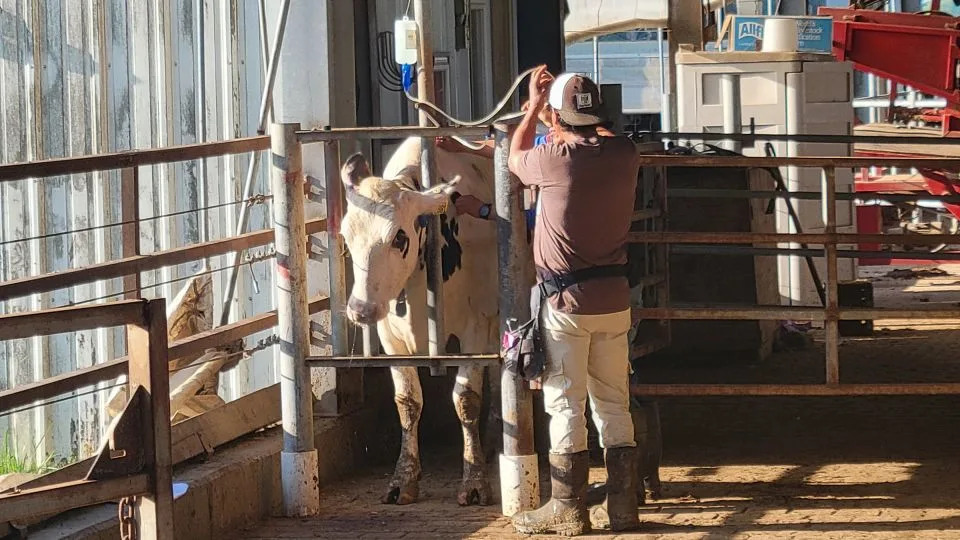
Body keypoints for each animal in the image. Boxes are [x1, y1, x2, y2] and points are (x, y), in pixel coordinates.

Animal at [338, 136, 532, 506]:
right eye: (345, 235)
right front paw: (403, 478)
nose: (360, 309)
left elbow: (465, 399)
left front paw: (474, 480)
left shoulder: (476, 327)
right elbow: (407, 401)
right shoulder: (389, 335)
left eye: (399, 237)